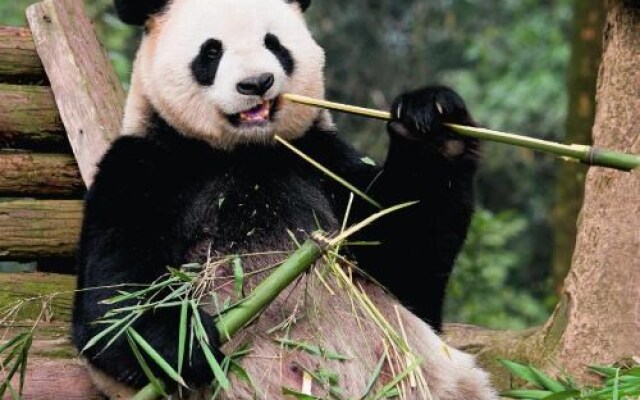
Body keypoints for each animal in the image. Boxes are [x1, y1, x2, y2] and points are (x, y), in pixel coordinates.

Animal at [72, 0, 498, 400]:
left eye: (274, 44)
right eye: (211, 52)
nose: (256, 83)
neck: (248, 152)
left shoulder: (322, 162)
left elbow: (406, 265)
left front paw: (433, 121)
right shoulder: (145, 170)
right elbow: (110, 311)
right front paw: (187, 343)